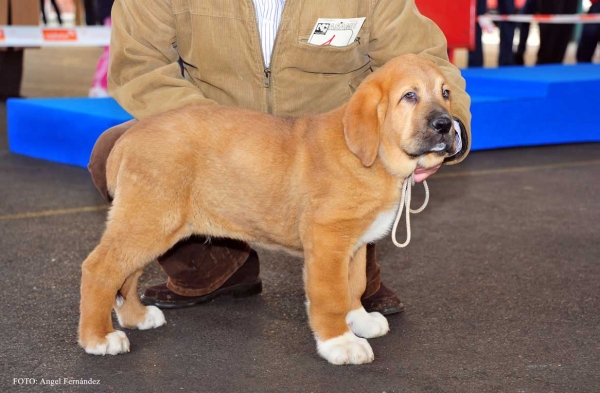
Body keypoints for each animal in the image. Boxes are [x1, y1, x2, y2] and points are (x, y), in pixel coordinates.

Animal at [78, 52, 454, 364]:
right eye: (409, 96)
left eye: (446, 93)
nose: (446, 125)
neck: (371, 157)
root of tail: (130, 137)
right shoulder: (328, 242)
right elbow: (332, 296)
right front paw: (341, 343)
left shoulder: (355, 244)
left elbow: (355, 286)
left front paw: (359, 321)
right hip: (149, 219)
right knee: (100, 269)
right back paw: (99, 338)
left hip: (150, 224)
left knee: (127, 273)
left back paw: (137, 317)